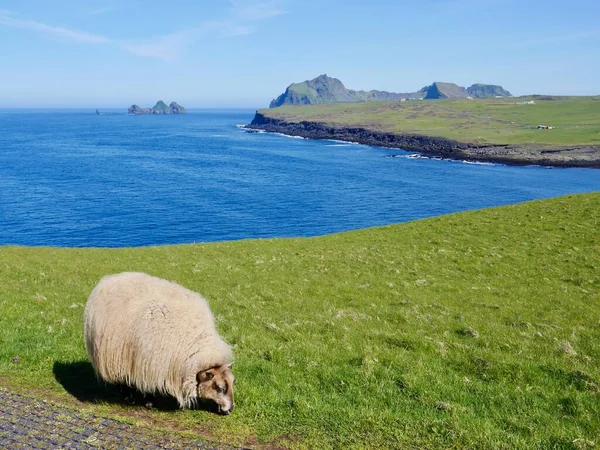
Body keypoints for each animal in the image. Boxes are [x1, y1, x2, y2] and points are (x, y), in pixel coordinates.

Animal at [84, 270, 234, 414]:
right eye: (220, 388)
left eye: (232, 382)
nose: (231, 409)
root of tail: (110, 278)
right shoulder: (150, 361)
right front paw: (149, 402)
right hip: (114, 355)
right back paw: (128, 397)